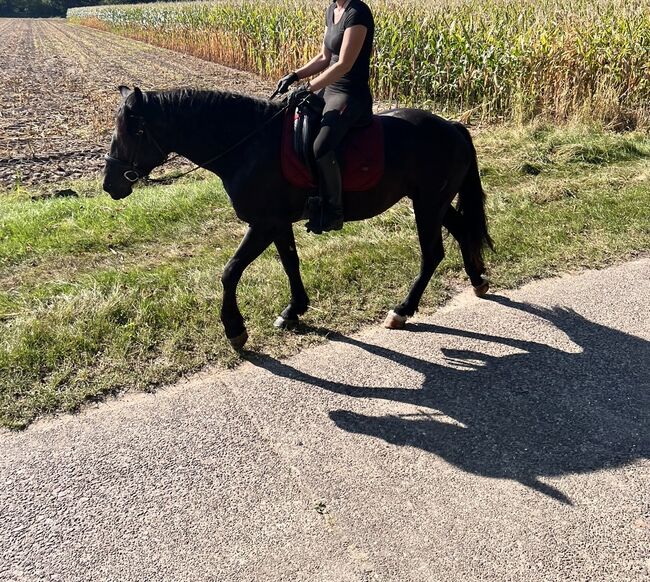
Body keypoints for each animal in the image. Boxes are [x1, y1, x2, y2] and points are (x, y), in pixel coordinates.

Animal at [104, 87, 492, 352]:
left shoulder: (263, 223)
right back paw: (478, 281)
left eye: (131, 132)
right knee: (462, 232)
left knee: (432, 254)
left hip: (428, 205)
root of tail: (452, 126)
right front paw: (294, 310)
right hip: (433, 203)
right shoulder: (277, 223)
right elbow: (290, 262)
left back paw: (402, 309)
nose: (109, 185)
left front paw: (235, 329)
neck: (248, 146)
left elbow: (230, 271)